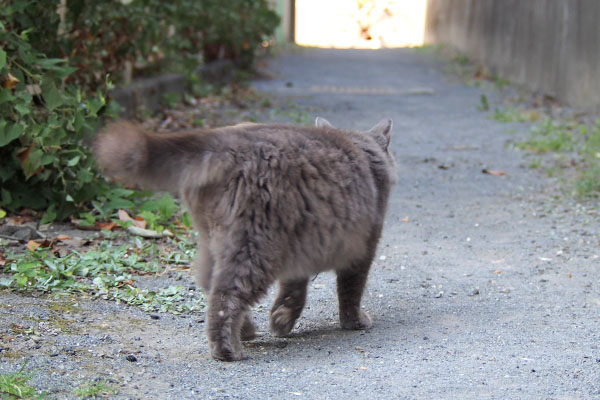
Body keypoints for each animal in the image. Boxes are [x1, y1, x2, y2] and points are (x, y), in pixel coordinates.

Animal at [94, 117, 396, 360]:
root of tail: (222, 140)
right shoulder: (363, 246)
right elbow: (350, 290)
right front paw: (355, 322)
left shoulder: (303, 246)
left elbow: (293, 290)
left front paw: (281, 321)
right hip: (255, 245)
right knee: (226, 296)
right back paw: (229, 350)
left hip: (216, 241)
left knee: (210, 284)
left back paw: (247, 331)